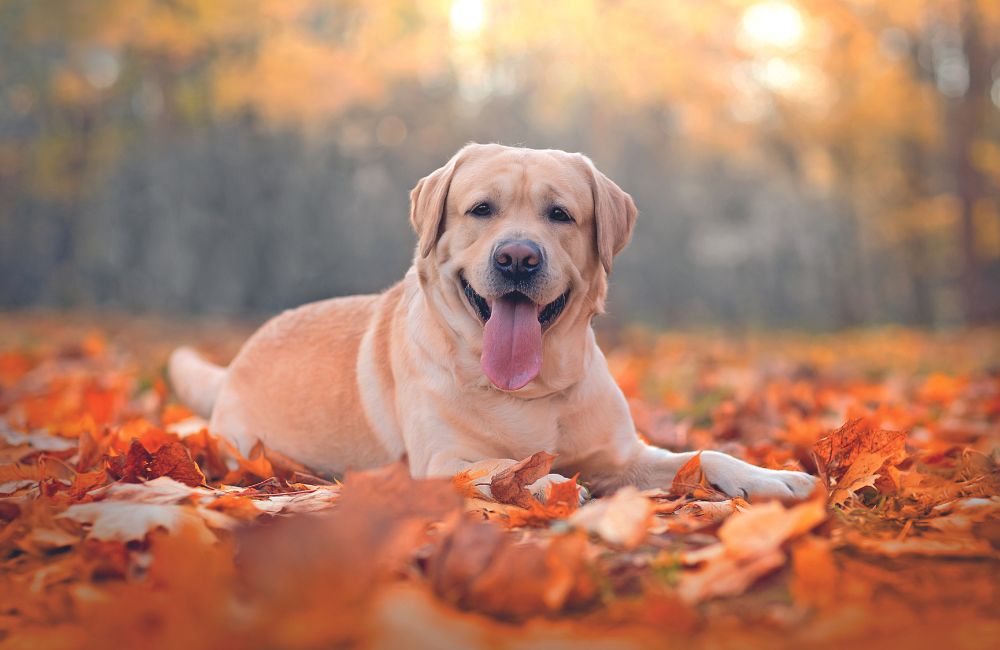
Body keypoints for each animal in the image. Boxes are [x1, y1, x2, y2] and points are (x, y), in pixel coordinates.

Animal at [168, 144, 816, 498]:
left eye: (561, 214)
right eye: (481, 209)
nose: (518, 258)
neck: (532, 391)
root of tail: (237, 362)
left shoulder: (622, 455)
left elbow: (703, 454)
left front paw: (772, 476)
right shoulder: (440, 462)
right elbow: (502, 464)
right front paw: (548, 480)